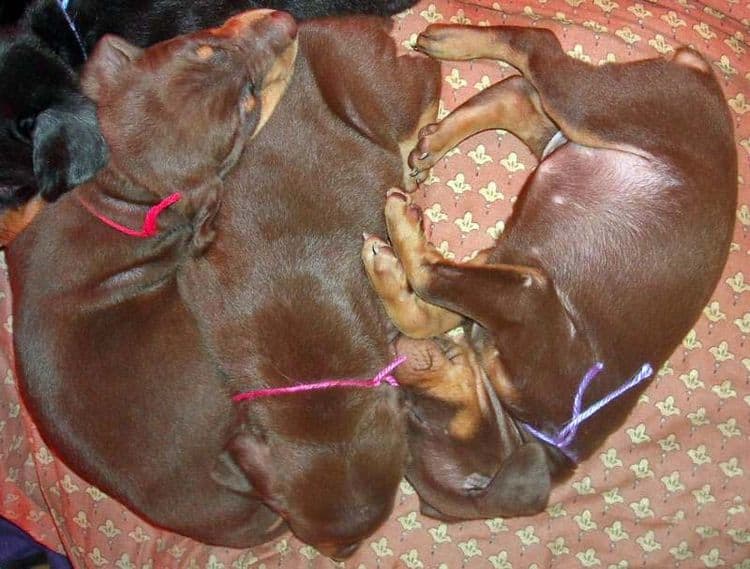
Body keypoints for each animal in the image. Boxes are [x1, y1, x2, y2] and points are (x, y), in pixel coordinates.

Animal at [364, 25, 740, 520]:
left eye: (417, 417)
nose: (390, 355)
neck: (530, 431)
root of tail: (698, 71)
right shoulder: (505, 270)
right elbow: (431, 307)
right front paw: (389, 263)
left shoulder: (525, 290)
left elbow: (427, 283)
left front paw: (395, 237)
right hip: (580, 130)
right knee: (521, 88)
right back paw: (439, 114)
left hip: (599, 111)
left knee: (535, 51)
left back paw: (448, 63)